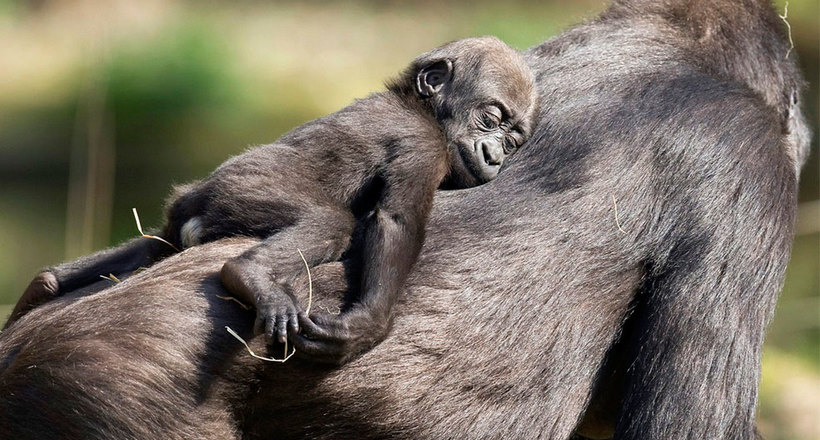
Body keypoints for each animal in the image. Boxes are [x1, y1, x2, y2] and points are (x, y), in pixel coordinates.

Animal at [8, 36, 540, 364]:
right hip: (242, 189)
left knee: (152, 245)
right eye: (491, 119)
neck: (421, 107)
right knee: (329, 223)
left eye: (513, 139)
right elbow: (396, 221)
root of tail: (195, 199)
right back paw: (248, 275)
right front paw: (366, 326)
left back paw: (45, 285)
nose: (495, 156)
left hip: (184, 213)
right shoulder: (422, 146)